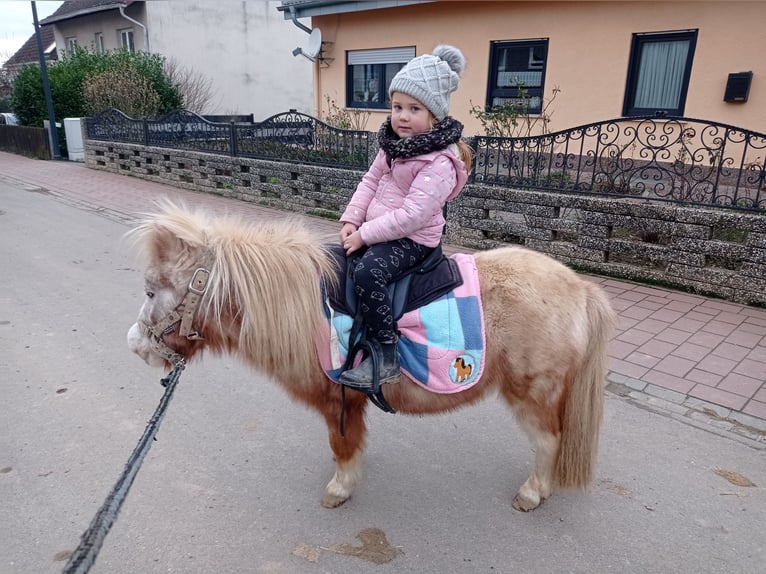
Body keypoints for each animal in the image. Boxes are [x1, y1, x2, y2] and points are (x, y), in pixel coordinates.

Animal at [126, 204, 616, 512]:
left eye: (150, 291)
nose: (135, 345)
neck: (307, 305)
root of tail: (580, 287)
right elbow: (353, 442)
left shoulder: (337, 399)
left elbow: (341, 446)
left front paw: (340, 489)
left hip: (533, 393)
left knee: (549, 441)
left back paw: (532, 494)